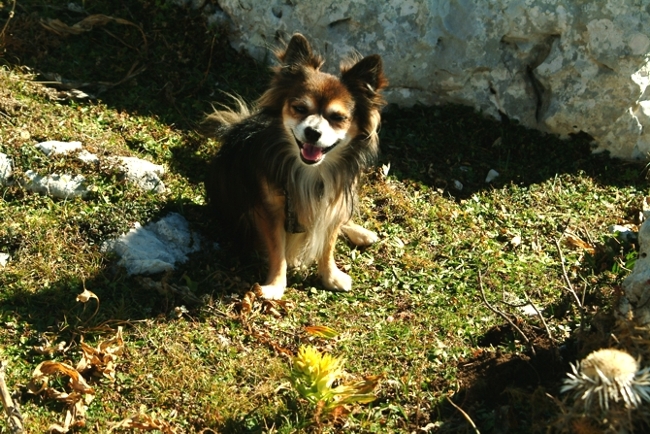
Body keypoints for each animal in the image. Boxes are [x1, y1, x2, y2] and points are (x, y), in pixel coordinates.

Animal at [204, 34, 384, 298]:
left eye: (338, 118)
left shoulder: (330, 203)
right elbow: (278, 248)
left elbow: (328, 243)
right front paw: (275, 286)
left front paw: (330, 276)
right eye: (299, 108)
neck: (311, 170)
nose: (313, 132)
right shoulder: (270, 210)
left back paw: (361, 232)